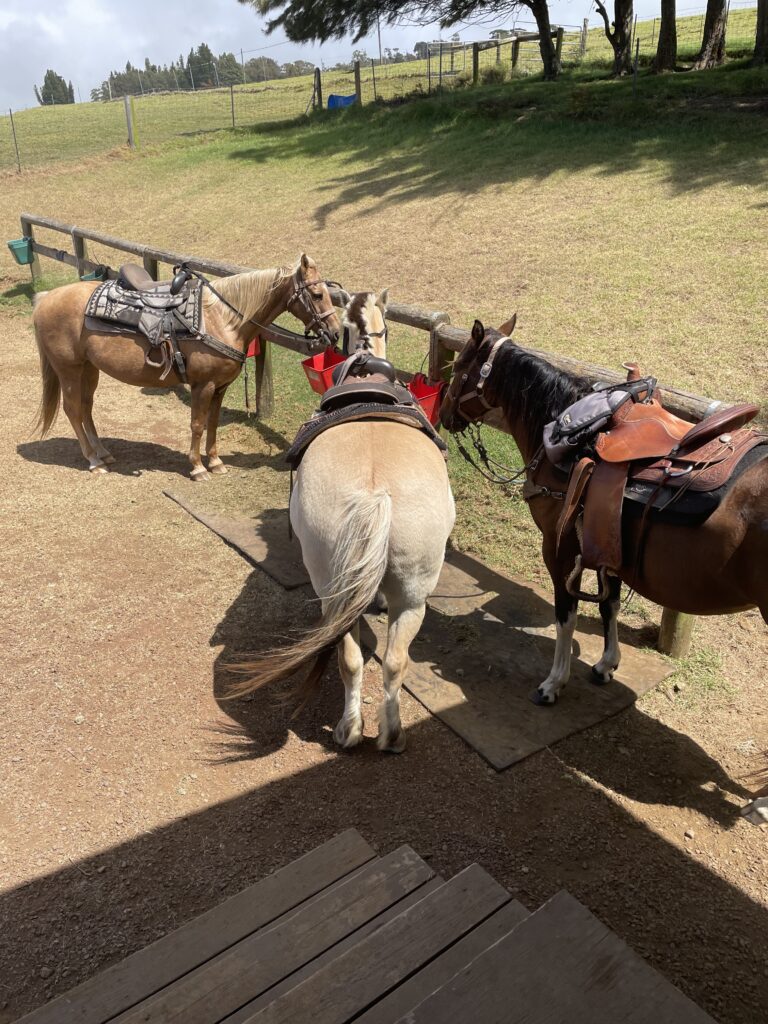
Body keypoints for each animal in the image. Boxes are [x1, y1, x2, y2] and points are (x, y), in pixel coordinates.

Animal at [32, 255, 341, 480]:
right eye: (316, 295)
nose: (336, 333)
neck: (221, 319)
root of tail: (45, 298)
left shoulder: (220, 387)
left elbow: (213, 424)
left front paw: (215, 461)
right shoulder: (202, 385)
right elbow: (197, 424)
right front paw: (197, 467)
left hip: (89, 368)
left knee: (86, 408)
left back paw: (103, 452)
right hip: (68, 369)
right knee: (73, 409)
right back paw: (94, 460)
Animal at [230, 291, 456, 753]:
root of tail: (374, 496)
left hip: (346, 592)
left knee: (363, 659)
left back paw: (362, 731)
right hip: (404, 596)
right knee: (384, 660)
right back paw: (375, 734)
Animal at [440, 319, 768, 705]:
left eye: (460, 367)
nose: (443, 413)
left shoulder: (559, 547)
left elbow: (566, 613)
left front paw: (553, 683)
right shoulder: (607, 541)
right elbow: (609, 603)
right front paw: (606, 664)